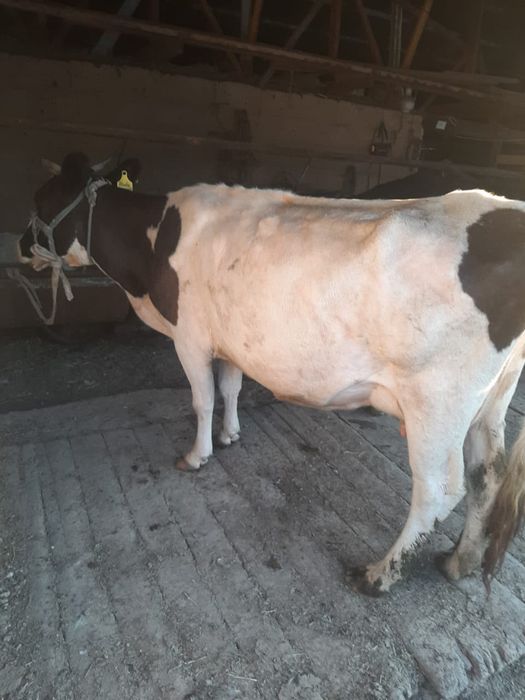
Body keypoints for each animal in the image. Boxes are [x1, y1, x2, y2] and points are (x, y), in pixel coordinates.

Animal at [18, 151, 525, 596]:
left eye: (42, 200)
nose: (22, 246)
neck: (153, 244)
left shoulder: (190, 337)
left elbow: (202, 398)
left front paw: (197, 455)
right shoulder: (229, 339)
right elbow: (230, 387)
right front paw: (230, 435)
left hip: (437, 400)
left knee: (439, 490)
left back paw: (378, 575)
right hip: (490, 400)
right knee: (486, 474)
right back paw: (458, 561)